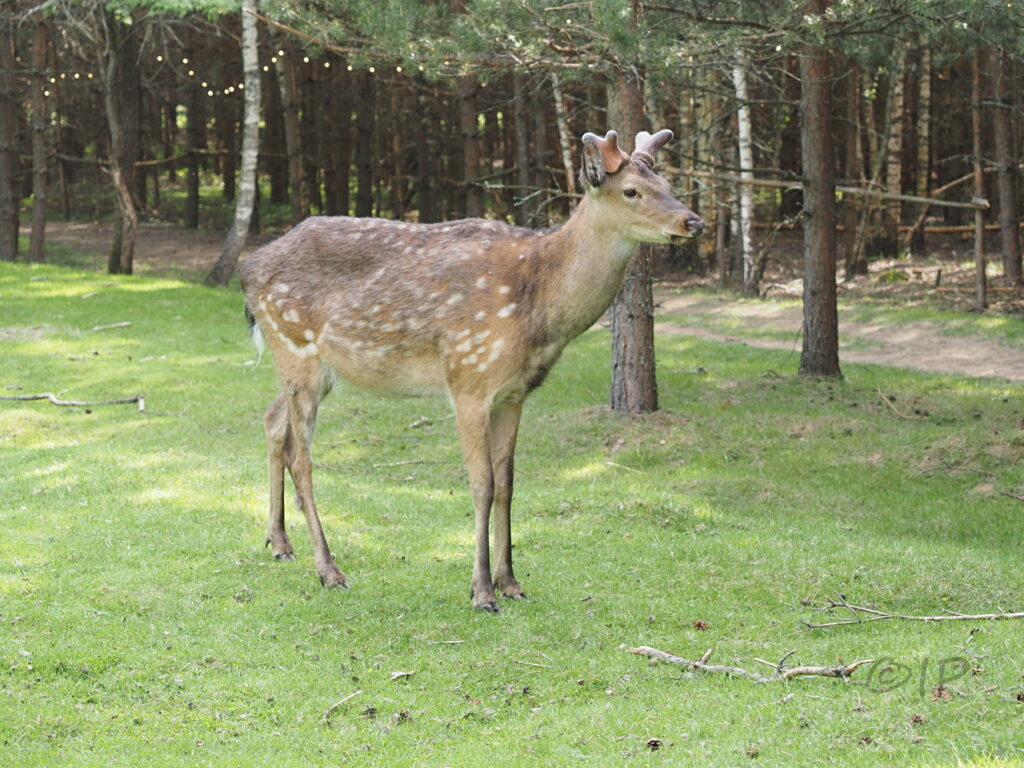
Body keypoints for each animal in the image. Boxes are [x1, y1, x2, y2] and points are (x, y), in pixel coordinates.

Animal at [240, 128, 703, 611]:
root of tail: (247, 271)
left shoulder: (514, 393)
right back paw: (328, 569)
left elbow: (508, 483)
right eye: (631, 191)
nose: (693, 222)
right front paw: (482, 590)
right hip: (296, 349)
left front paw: (511, 581)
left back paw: (279, 543)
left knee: (273, 421)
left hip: (313, 366)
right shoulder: (468, 378)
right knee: (301, 456)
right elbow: (482, 484)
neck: (538, 311)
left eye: (667, 184)